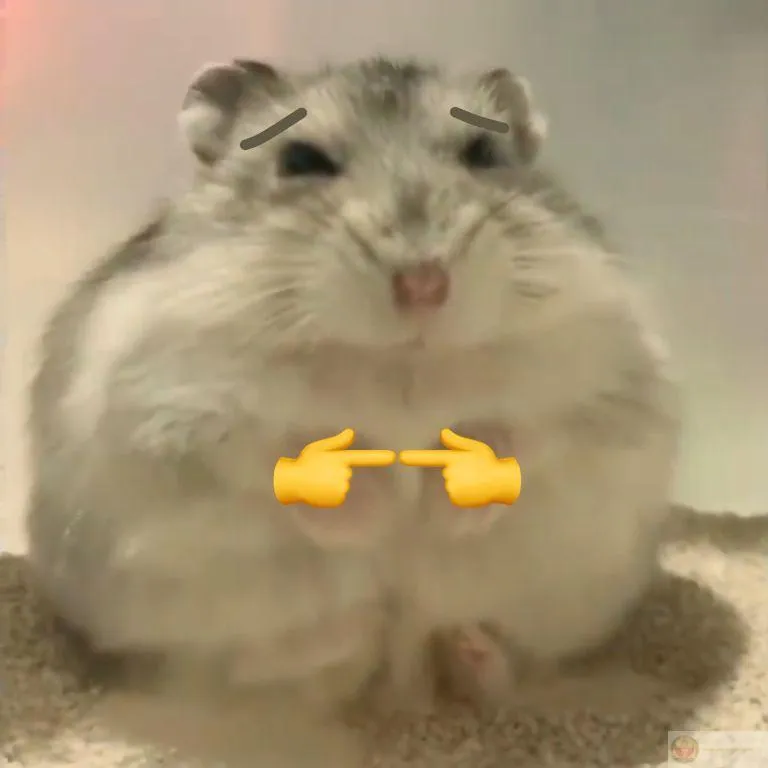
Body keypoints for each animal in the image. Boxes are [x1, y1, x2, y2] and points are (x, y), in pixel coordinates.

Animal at [25, 55, 679, 724]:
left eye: (481, 152)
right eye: (301, 160)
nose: (424, 284)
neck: (399, 366)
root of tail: (401, 684)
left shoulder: (599, 384)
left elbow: (517, 434)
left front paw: (437, 512)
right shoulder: (176, 413)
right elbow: (281, 456)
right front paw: (382, 515)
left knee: (502, 664)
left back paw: (461, 644)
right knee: (254, 665)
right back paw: (353, 624)